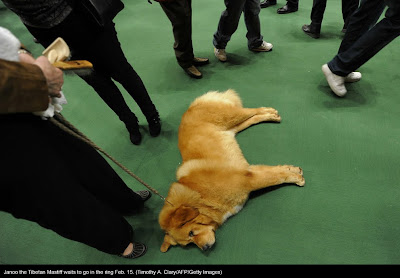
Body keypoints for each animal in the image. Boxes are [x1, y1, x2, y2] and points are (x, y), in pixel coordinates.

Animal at [158, 89, 304, 252]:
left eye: (191, 233)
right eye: (189, 243)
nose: (205, 248)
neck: (202, 197)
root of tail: (191, 106)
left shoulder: (248, 179)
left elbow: (277, 177)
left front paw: (296, 178)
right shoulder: (248, 171)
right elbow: (276, 172)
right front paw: (293, 170)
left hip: (231, 117)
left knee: (252, 110)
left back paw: (270, 113)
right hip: (233, 128)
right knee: (252, 119)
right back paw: (269, 116)